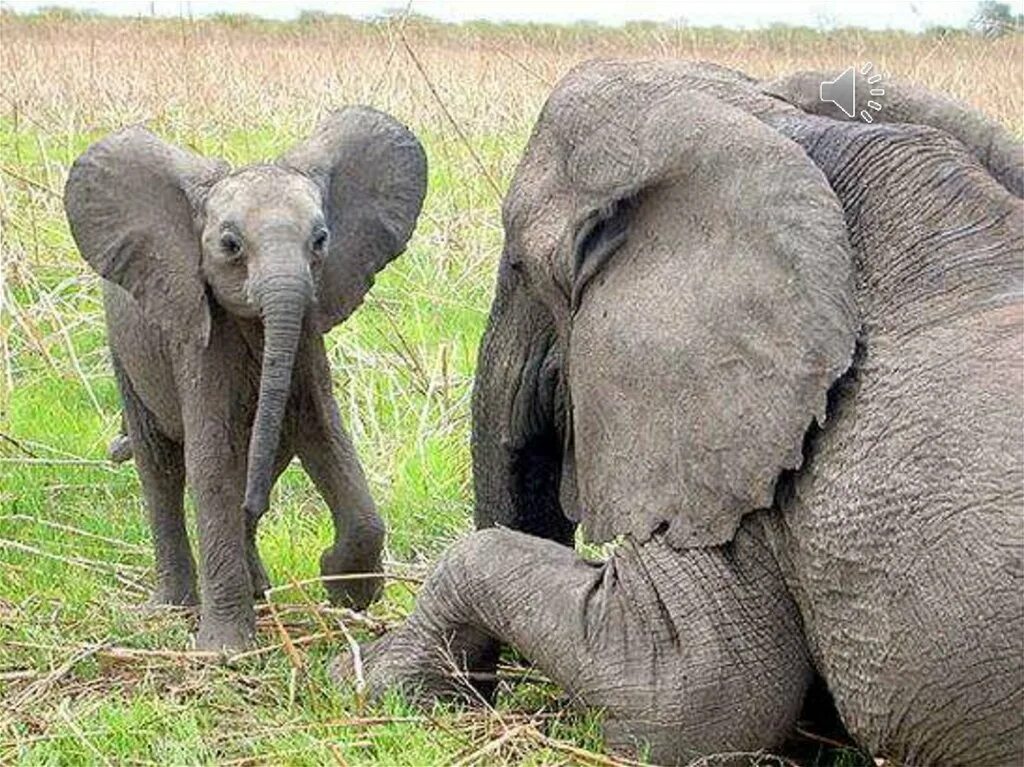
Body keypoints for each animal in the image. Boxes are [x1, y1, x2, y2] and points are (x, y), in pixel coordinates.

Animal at [64, 105, 425, 647]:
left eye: (321, 241)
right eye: (230, 245)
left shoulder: (306, 336)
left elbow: (324, 435)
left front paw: (347, 593)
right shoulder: (196, 339)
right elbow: (213, 462)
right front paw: (226, 650)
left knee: (264, 460)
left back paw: (258, 586)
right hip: (126, 351)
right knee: (161, 468)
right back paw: (176, 606)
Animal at [337, 62, 1024, 761]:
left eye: (519, 265)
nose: (495, 679)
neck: (790, 128)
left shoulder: (741, 447)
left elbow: (692, 701)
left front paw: (370, 676)